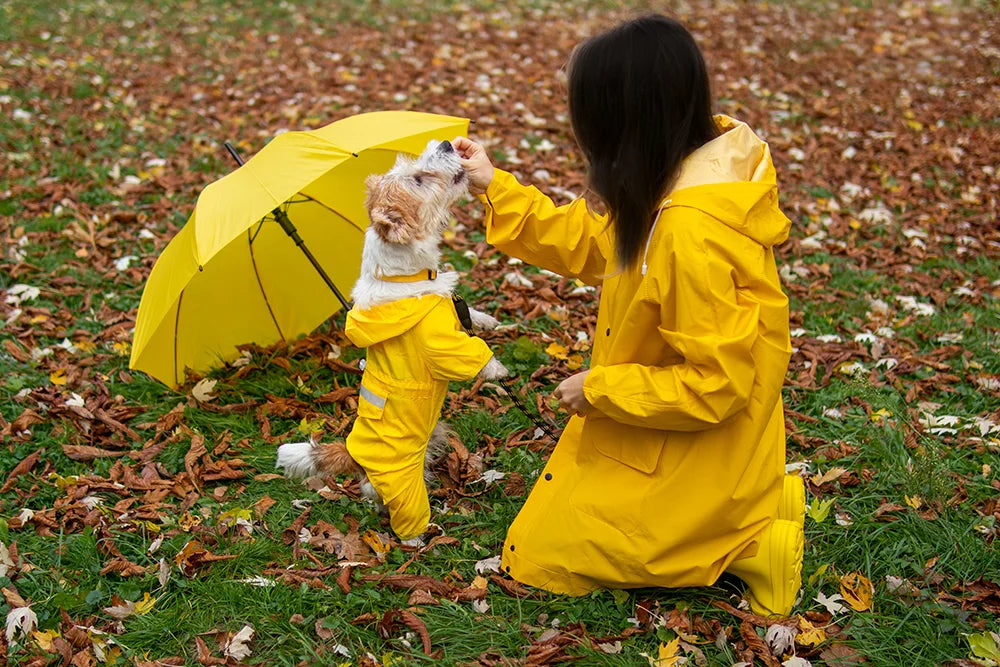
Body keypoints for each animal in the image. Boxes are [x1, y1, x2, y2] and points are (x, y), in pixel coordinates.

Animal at [276, 141, 504, 548]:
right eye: (418, 179)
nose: (446, 143)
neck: (407, 276)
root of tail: (351, 454)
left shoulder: (452, 309)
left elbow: (469, 316)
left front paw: (486, 320)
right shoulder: (441, 343)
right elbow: (470, 355)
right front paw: (497, 368)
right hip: (404, 490)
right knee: (401, 516)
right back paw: (419, 540)